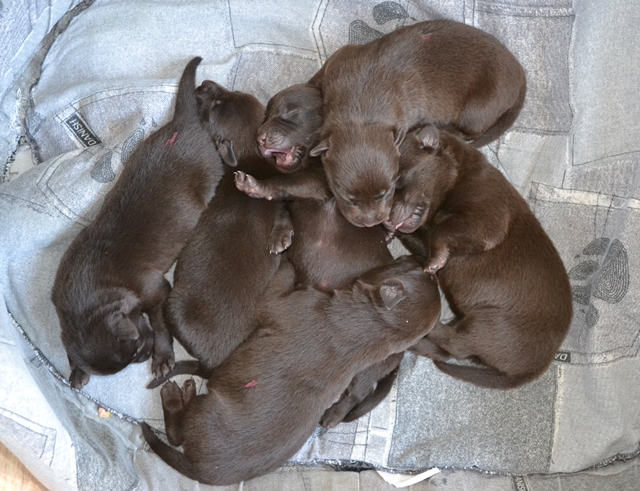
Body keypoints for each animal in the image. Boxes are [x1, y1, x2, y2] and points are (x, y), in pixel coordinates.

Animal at [51, 57, 225, 389]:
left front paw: (163, 358)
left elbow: (160, 324)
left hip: (210, 170)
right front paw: (76, 371)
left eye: (134, 350)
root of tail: (181, 122)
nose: (144, 356)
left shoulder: (156, 290)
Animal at [141, 256, 441, 485]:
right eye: (415, 267)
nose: (414, 257)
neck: (373, 328)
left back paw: (178, 394)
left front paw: (286, 258)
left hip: (203, 412)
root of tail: (201, 471)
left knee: (175, 433)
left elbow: (277, 287)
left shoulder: (281, 304)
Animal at [309, 19, 526, 228]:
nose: (371, 221)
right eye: (348, 197)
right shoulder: (338, 62)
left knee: (472, 130)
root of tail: (521, 76)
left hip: (478, 108)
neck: (362, 107)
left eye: (388, 190)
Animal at [393, 124, 572, 389]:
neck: (458, 176)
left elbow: (441, 231)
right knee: (451, 349)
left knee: (457, 345)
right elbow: (423, 236)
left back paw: (424, 326)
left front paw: (434, 261)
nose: (384, 218)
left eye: (397, 182)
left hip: (492, 323)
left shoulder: (486, 219)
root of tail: (532, 370)